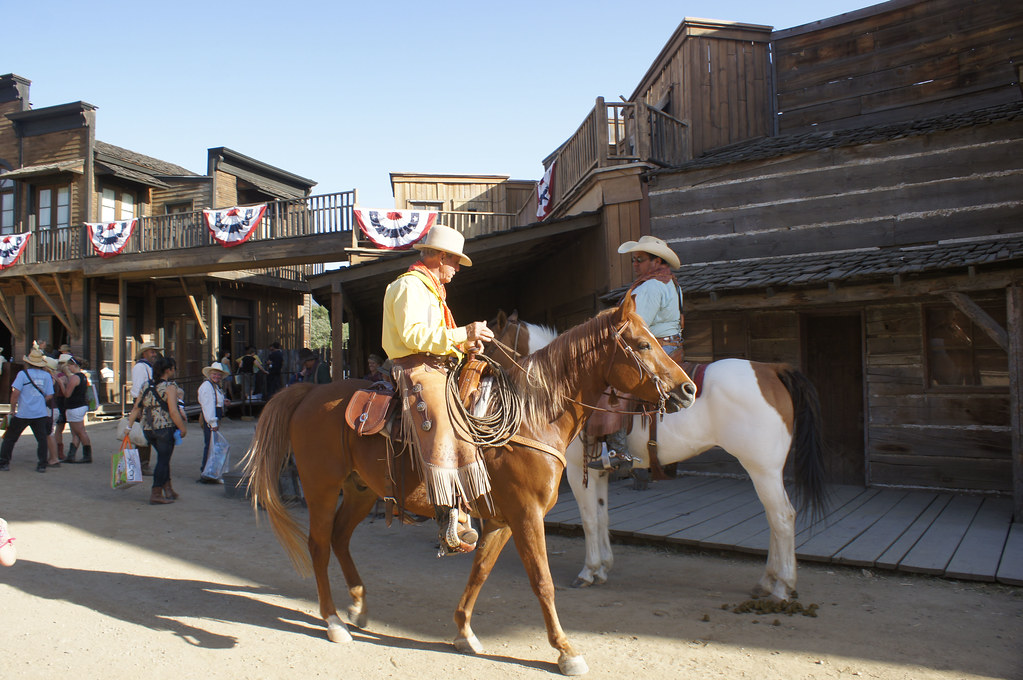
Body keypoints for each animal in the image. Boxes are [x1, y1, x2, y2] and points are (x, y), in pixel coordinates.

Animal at [239, 292, 695, 674]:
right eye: (642, 345)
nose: (687, 389)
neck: (531, 416)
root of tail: (308, 393)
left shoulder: (502, 520)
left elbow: (480, 572)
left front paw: (463, 632)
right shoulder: (526, 515)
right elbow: (542, 581)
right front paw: (566, 650)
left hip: (359, 490)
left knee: (338, 538)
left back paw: (357, 605)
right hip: (321, 488)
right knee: (318, 545)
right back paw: (334, 620)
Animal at [488, 312, 830, 601]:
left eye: (489, 345)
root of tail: (770, 369)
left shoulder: (577, 470)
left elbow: (588, 519)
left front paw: (589, 570)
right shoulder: (600, 470)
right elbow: (602, 516)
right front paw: (603, 567)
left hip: (762, 469)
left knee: (782, 517)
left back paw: (782, 587)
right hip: (767, 471)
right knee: (775, 519)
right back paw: (768, 581)